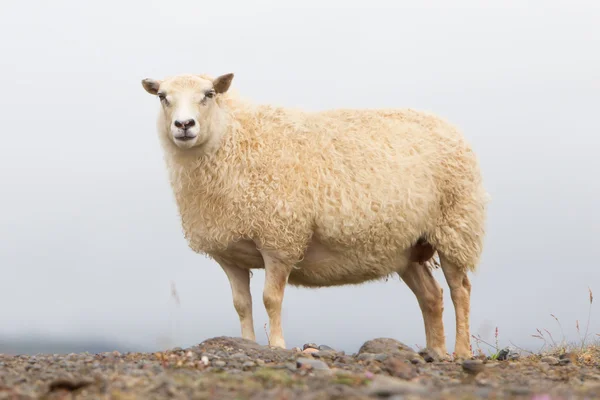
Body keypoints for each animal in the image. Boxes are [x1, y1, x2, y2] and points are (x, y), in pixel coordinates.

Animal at [143, 72, 490, 362]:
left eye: (209, 94)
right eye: (162, 96)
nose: (184, 125)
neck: (235, 142)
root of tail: (447, 126)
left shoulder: (280, 239)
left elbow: (270, 299)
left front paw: (277, 346)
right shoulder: (230, 254)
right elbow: (242, 305)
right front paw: (248, 344)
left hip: (455, 227)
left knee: (460, 291)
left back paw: (461, 352)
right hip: (407, 248)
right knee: (431, 295)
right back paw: (436, 351)